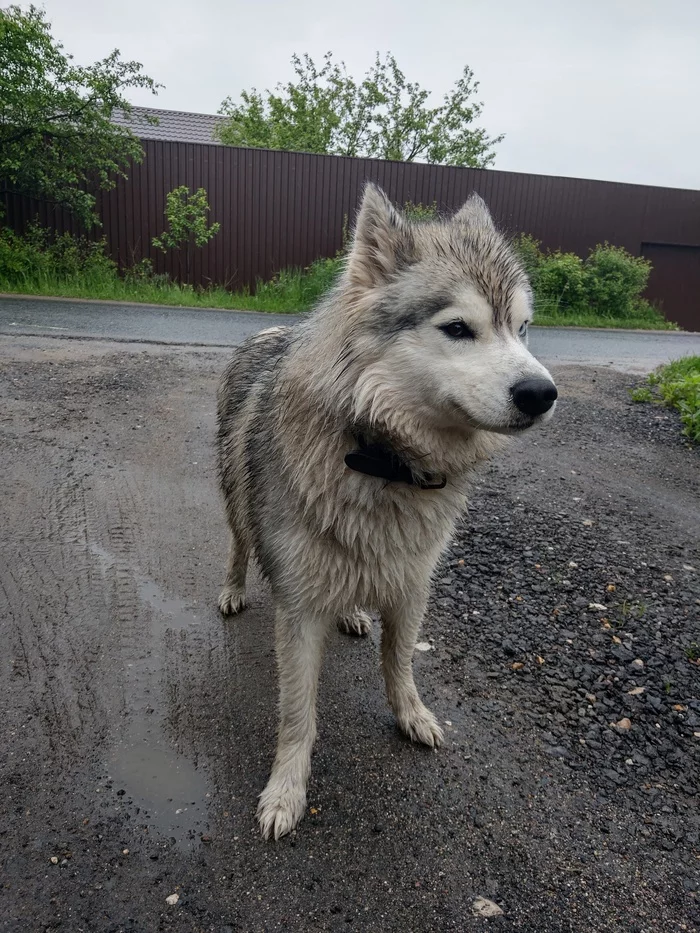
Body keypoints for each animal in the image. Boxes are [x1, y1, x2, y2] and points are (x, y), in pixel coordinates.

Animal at [216, 182, 556, 836]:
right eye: (458, 328)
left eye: (523, 329)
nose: (543, 393)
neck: (381, 458)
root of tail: (268, 331)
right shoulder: (299, 610)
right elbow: (298, 715)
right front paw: (286, 792)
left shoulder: (410, 583)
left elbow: (399, 666)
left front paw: (412, 716)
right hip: (235, 506)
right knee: (239, 545)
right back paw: (233, 588)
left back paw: (351, 614)